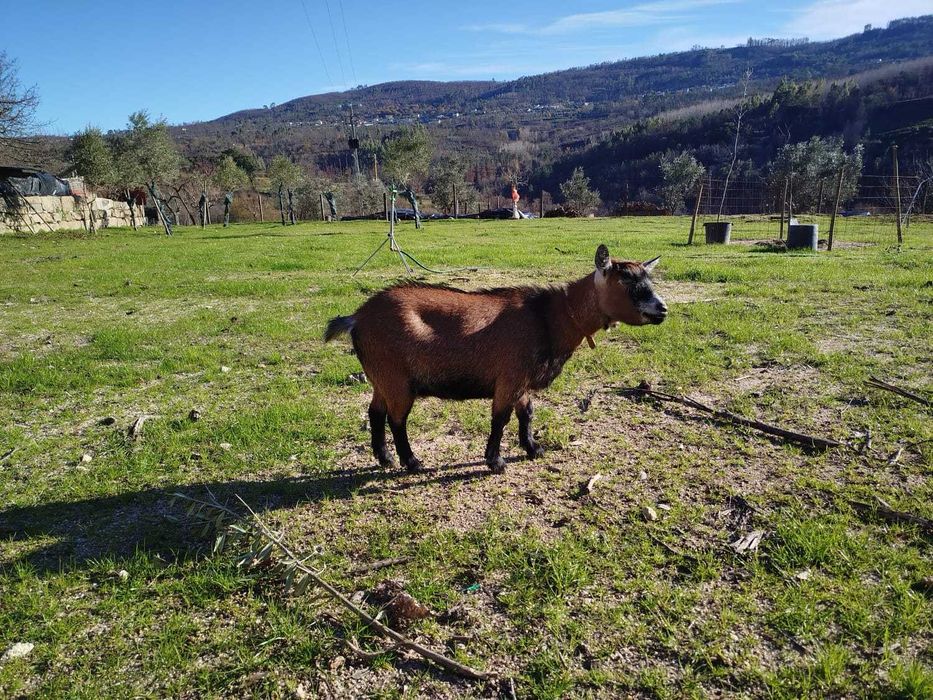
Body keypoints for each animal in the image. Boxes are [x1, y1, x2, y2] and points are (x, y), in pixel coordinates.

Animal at [325, 244, 667, 473]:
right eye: (626, 283)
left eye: (648, 282)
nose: (662, 309)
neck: (549, 318)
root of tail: (356, 318)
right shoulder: (510, 377)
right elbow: (500, 418)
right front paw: (496, 461)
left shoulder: (523, 380)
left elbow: (526, 414)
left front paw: (533, 449)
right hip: (397, 379)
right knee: (397, 419)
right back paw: (412, 462)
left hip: (381, 378)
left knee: (375, 412)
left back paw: (384, 458)